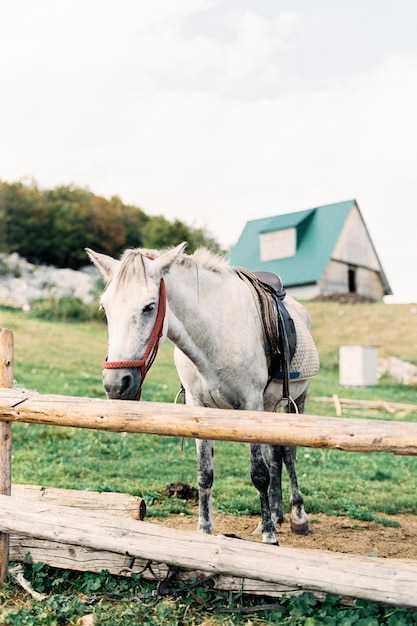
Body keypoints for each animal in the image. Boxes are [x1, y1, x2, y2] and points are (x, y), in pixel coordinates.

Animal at [87, 241, 318, 544]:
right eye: (105, 306)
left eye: (149, 307)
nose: (116, 384)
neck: (215, 335)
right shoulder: (199, 409)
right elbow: (205, 473)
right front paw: (205, 530)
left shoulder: (251, 404)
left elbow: (259, 473)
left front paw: (270, 537)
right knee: (275, 455)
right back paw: (275, 515)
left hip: (296, 401)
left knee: (288, 454)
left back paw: (297, 517)